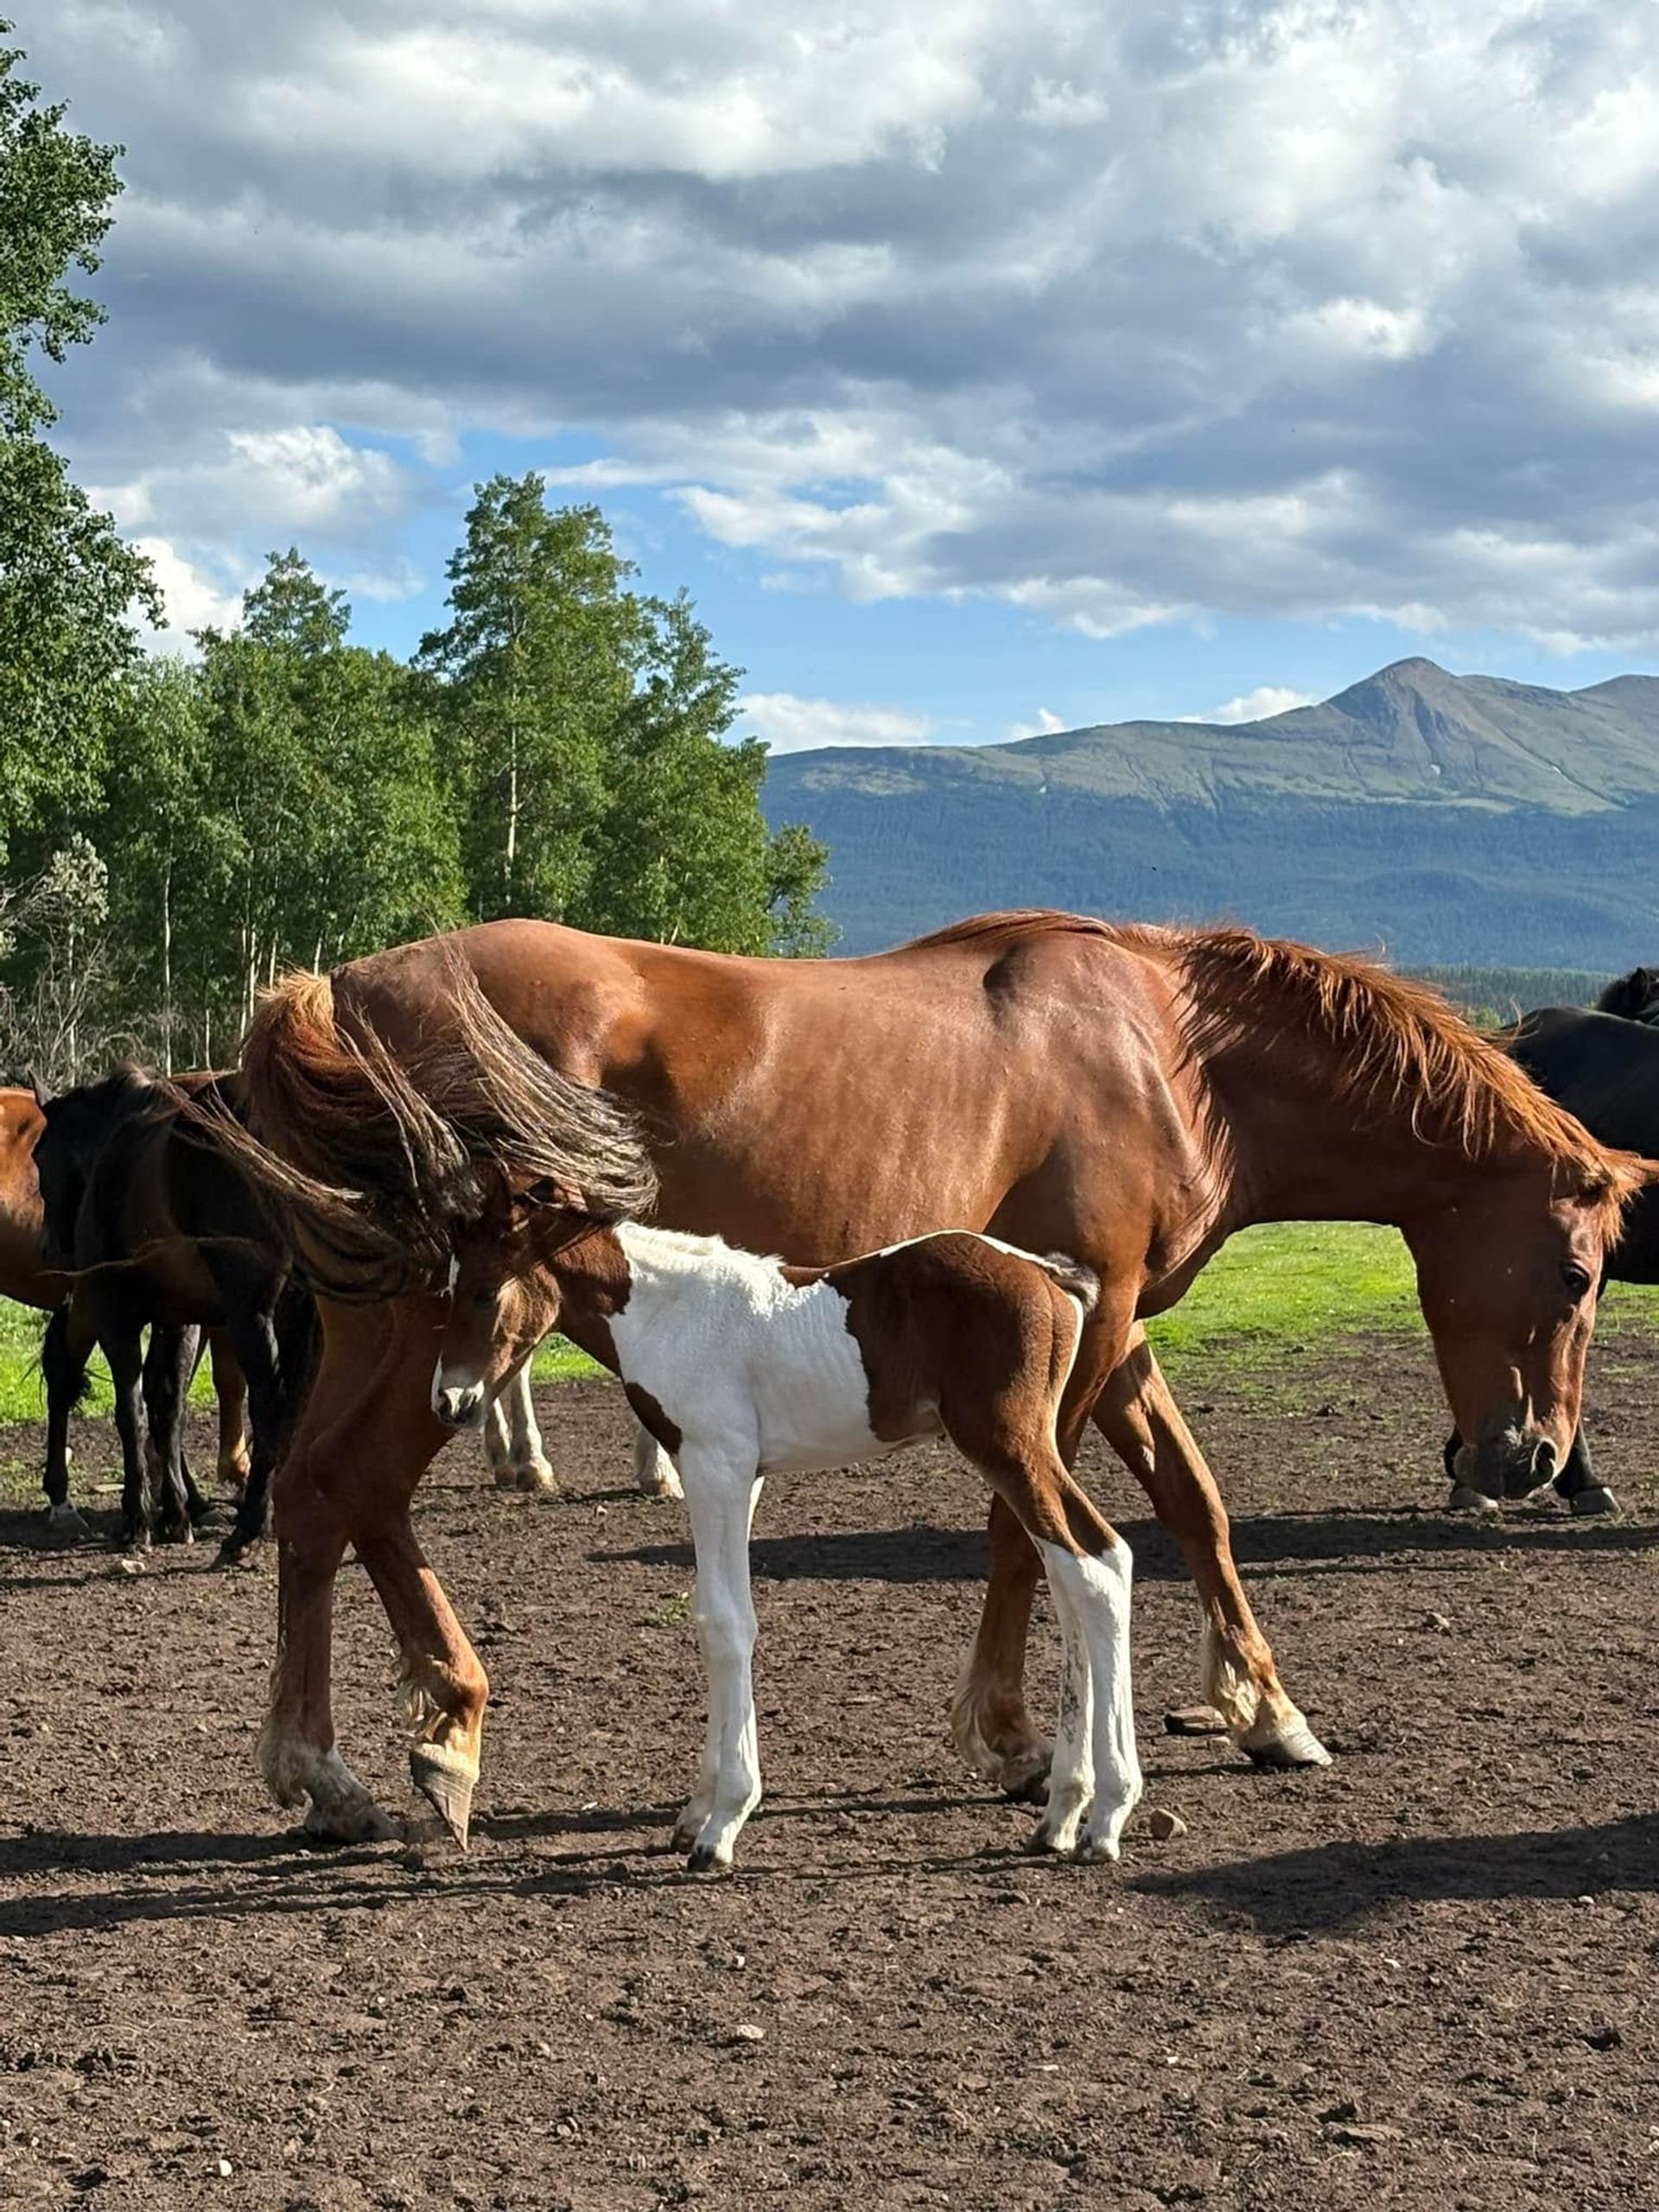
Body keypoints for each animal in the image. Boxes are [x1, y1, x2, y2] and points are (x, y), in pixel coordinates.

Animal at [35, 1068, 318, 1558]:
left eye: (38, 1155)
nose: (55, 1250)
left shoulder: (116, 1313)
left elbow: (131, 1410)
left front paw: (137, 1517)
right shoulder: (178, 1318)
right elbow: (168, 1403)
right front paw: (175, 1512)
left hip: (252, 1316)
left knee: (270, 1406)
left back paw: (248, 1526)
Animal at [434, 1207, 1138, 1867]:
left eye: (486, 1291)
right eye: (447, 1288)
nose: (448, 1401)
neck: (671, 1314)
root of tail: (1047, 1274)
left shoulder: (716, 1465)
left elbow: (727, 1623)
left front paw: (722, 1824)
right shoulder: (739, 1478)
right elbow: (711, 1618)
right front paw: (697, 1809)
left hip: (1009, 1446)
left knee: (1096, 1565)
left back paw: (1106, 1817)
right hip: (1026, 1451)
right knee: (1075, 1571)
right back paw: (1062, 1813)